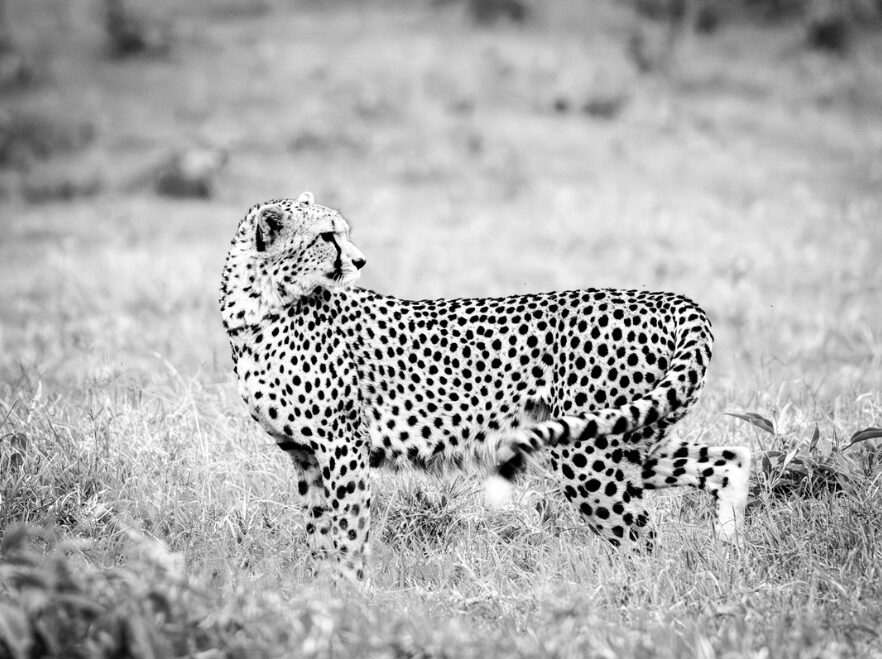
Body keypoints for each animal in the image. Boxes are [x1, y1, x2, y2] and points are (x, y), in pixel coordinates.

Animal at [219, 191, 751, 581]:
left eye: (342, 233)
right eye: (327, 236)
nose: (361, 260)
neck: (255, 308)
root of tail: (664, 297)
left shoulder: (343, 446)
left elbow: (348, 531)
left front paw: (349, 594)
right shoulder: (305, 454)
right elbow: (319, 533)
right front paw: (320, 590)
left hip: (587, 453)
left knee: (645, 540)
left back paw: (638, 595)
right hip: (627, 441)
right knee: (729, 458)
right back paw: (728, 551)